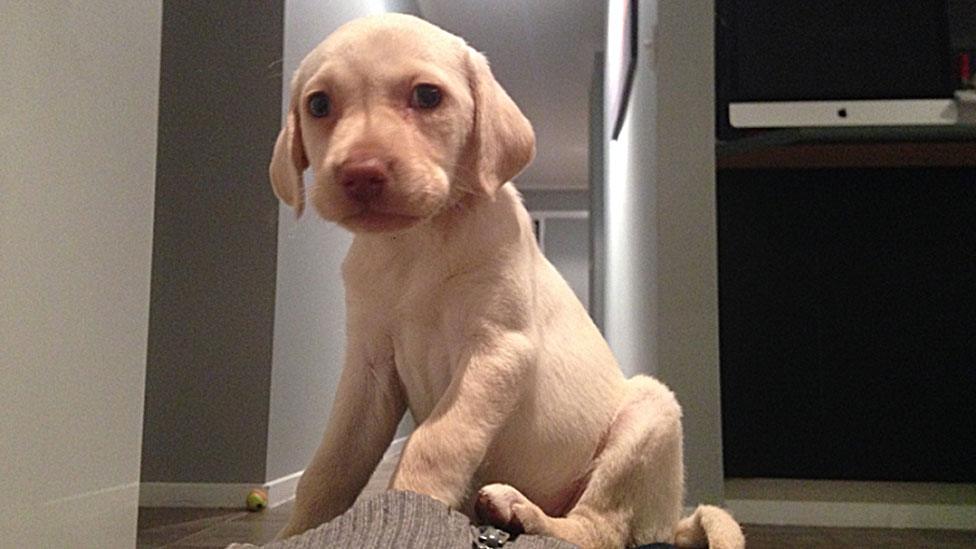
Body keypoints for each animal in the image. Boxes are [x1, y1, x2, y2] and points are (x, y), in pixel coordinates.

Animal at [270, 11, 744, 548]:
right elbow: (328, 466)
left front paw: (411, 504)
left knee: (594, 528)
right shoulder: (368, 371)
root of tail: (672, 519)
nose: (361, 172)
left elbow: (436, 443)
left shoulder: (498, 350)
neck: (414, 244)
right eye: (318, 104)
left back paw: (523, 513)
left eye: (427, 96)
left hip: (651, 410)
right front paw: (297, 531)